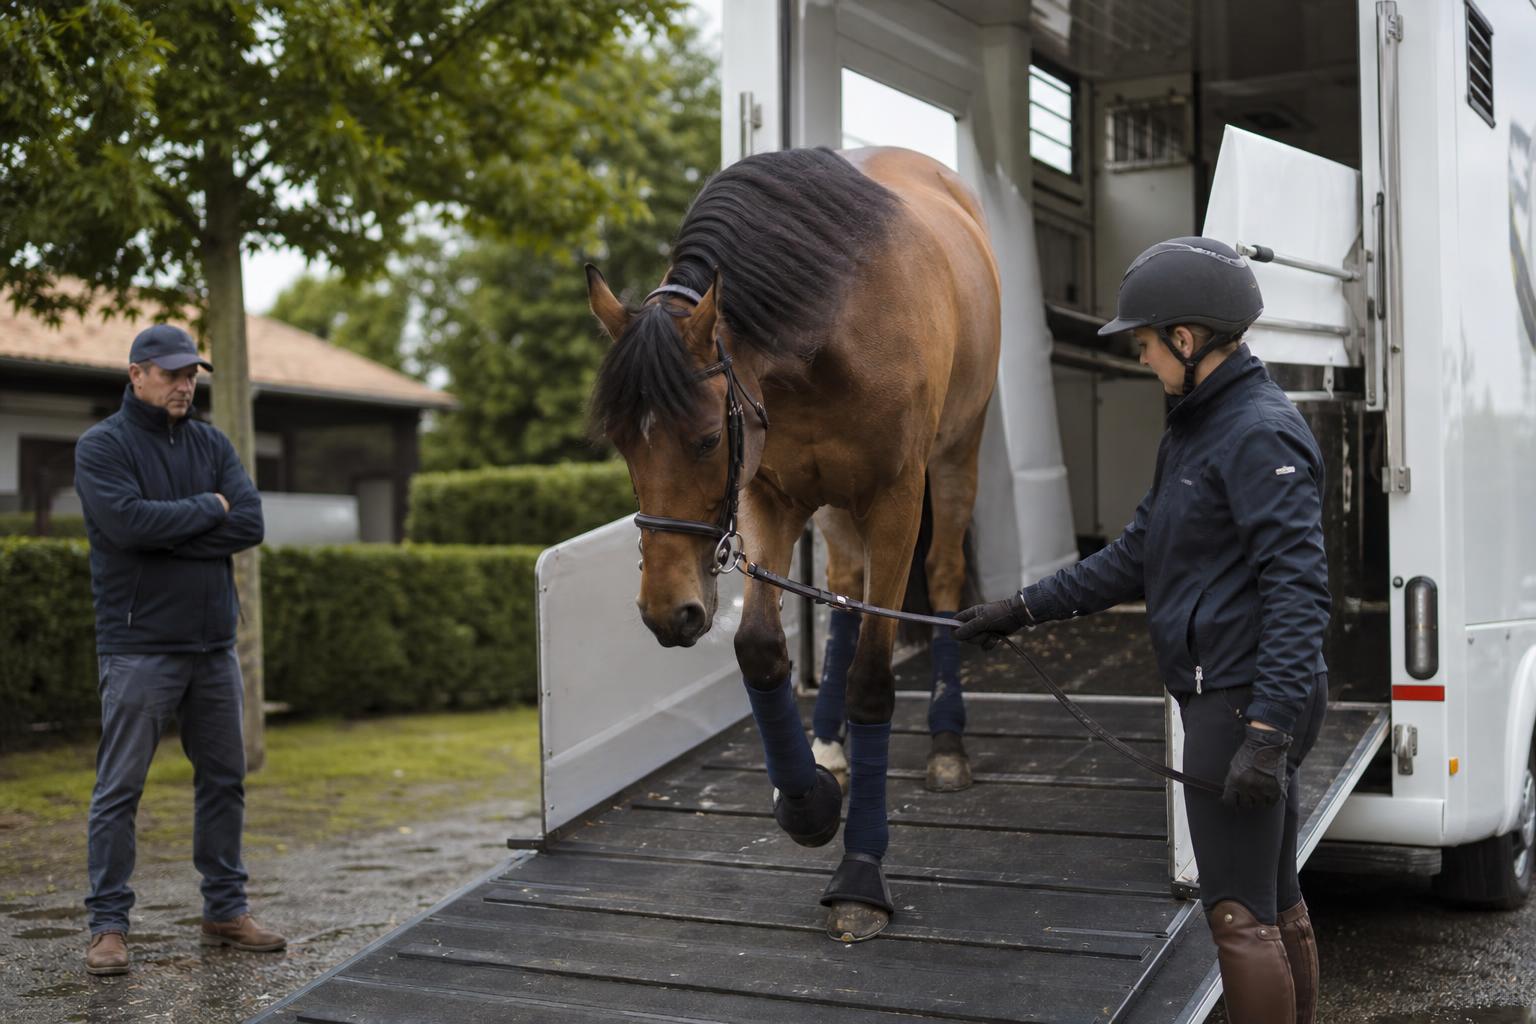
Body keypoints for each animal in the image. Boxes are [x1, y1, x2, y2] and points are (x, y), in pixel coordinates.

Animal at [587, 145, 1000, 941]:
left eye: (706, 438)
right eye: (621, 443)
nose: (666, 611)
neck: (833, 326)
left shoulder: (896, 498)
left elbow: (874, 677)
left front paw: (861, 871)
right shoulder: (769, 496)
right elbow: (759, 647)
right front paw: (808, 803)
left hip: (956, 456)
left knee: (937, 578)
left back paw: (946, 742)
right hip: (834, 506)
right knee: (842, 591)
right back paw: (829, 742)